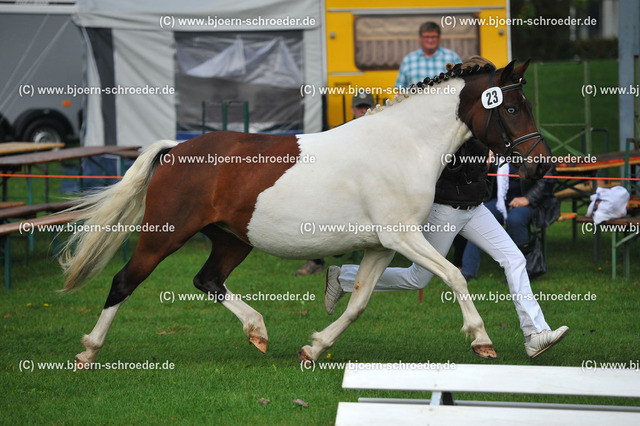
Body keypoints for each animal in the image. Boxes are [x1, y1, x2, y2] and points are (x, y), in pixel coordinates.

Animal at [61, 59, 552, 366]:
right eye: (511, 107)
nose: (541, 165)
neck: (405, 145)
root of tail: (176, 149)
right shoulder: (401, 238)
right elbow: (454, 276)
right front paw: (482, 340)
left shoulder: (381, 247)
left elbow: (357, 303)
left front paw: (313, 348)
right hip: (164, 235)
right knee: (124, 282)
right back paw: (87, 351)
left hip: (231, 240)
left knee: (207, 280)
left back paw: (258, 331)